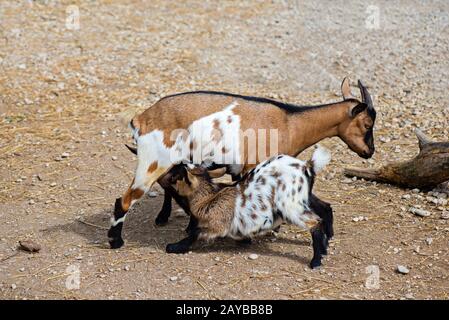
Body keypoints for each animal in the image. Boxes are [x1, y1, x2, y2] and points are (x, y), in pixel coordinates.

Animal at [108, 78, 374, 250]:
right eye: (368, 124)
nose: (369, 152)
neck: (291, 123)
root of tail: (142, 118)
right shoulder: (253, 167)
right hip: (153, 162)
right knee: (125, 200)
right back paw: (115, 241)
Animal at [161, 146, 332, 268]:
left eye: (175, 175)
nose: (164, 175)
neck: (208, 199)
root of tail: (306, 166)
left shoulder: (218, 225)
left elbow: (195, 232)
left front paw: (174, 247)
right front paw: (245, 240)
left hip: (291, 206)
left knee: (315, 223)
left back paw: (316, 261)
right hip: (302, 199)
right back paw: (324, 249)